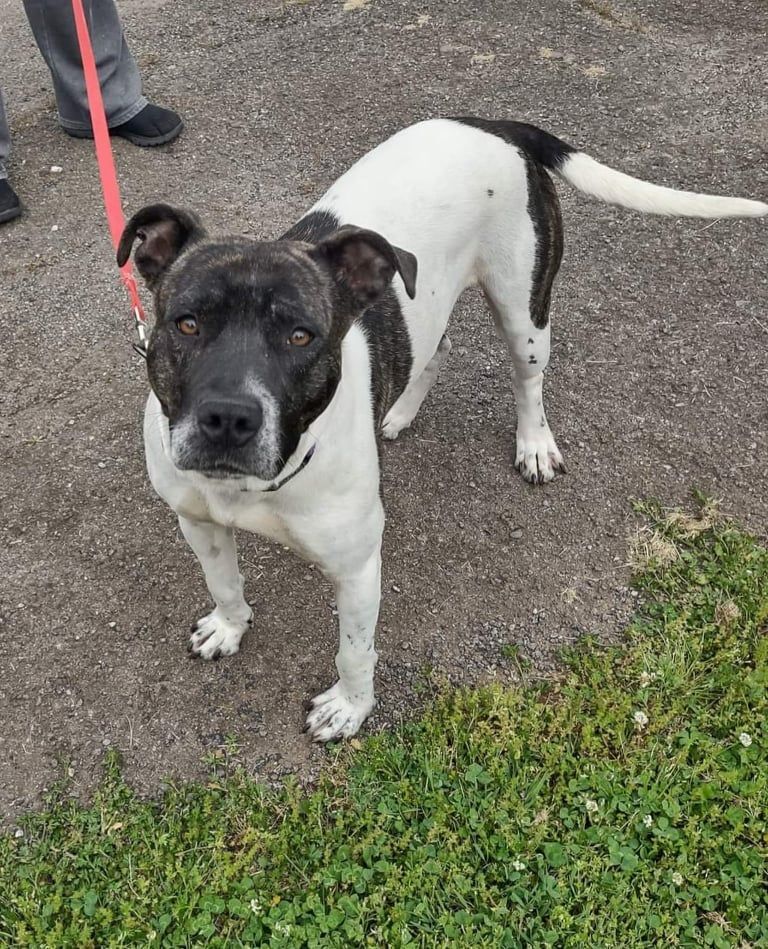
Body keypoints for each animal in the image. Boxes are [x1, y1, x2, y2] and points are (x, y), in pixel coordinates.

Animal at [115, 116, 768, 740]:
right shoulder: (198, 521)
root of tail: (496, 124)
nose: (229, 417)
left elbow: (354, 651)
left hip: (524, 310)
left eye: (301, 336)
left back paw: (534, 443)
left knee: (527, 379)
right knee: (436, 346)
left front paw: (349, 710)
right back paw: (399, 411)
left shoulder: (357, 567)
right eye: (187, 323)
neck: (259, 482)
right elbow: (223, 582)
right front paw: (229, 627)